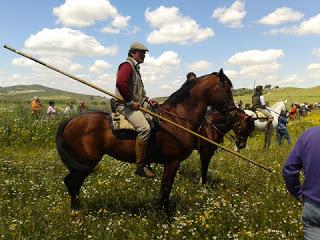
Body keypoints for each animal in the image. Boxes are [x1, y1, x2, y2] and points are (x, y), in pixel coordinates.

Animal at [55, 69, 235, 210]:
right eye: (227, 89)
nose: (233, 112)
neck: (177, 119)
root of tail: (70, 121)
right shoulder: (173, 162)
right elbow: (165, 190)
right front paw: (164, 217)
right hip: (85, 162)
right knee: (71, 183)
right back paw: (76, 212)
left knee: (73, 183)